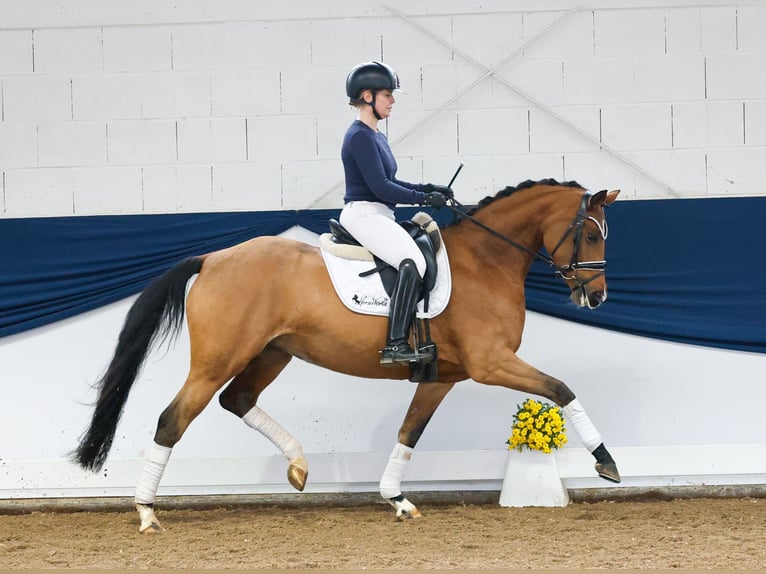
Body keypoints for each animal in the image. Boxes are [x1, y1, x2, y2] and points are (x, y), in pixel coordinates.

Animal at [72, 180, 624, 536]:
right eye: (591, 234)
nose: (596, 297)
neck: (486, 261)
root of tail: (212, 258)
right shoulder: (492, 363)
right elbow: (562, 389)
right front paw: (606, 462)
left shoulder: (443, 375)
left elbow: (409, 432)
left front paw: (396, 499)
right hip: (217, 359)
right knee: (174, 419)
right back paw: (146, 512)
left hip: (272, 353)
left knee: (238, 400)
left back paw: (297, 465)